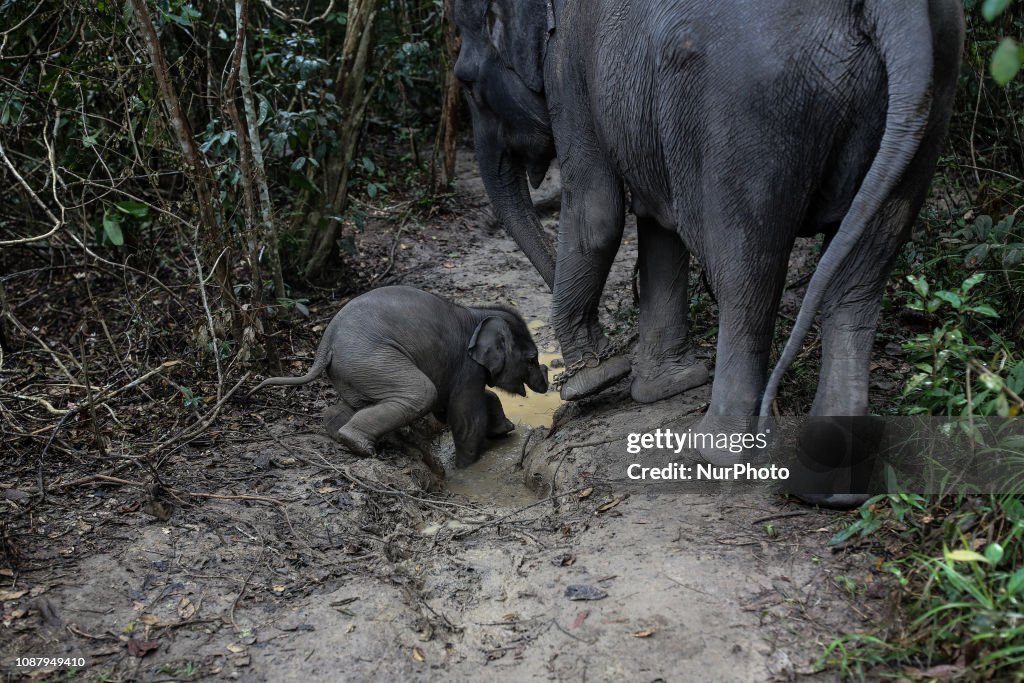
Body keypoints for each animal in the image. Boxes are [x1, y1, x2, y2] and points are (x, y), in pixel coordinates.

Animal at [456, 0, 966, 464]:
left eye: (466, 82)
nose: (547, 375)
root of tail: (891, 9)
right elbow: (658, 222)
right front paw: (667, 387)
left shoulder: (570, 67)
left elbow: (596, 212)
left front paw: (594, 381)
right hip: (929, 101)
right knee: (859, 278)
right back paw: (828, 474)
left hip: (751, 113)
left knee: (746, 270)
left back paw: (713, 451)